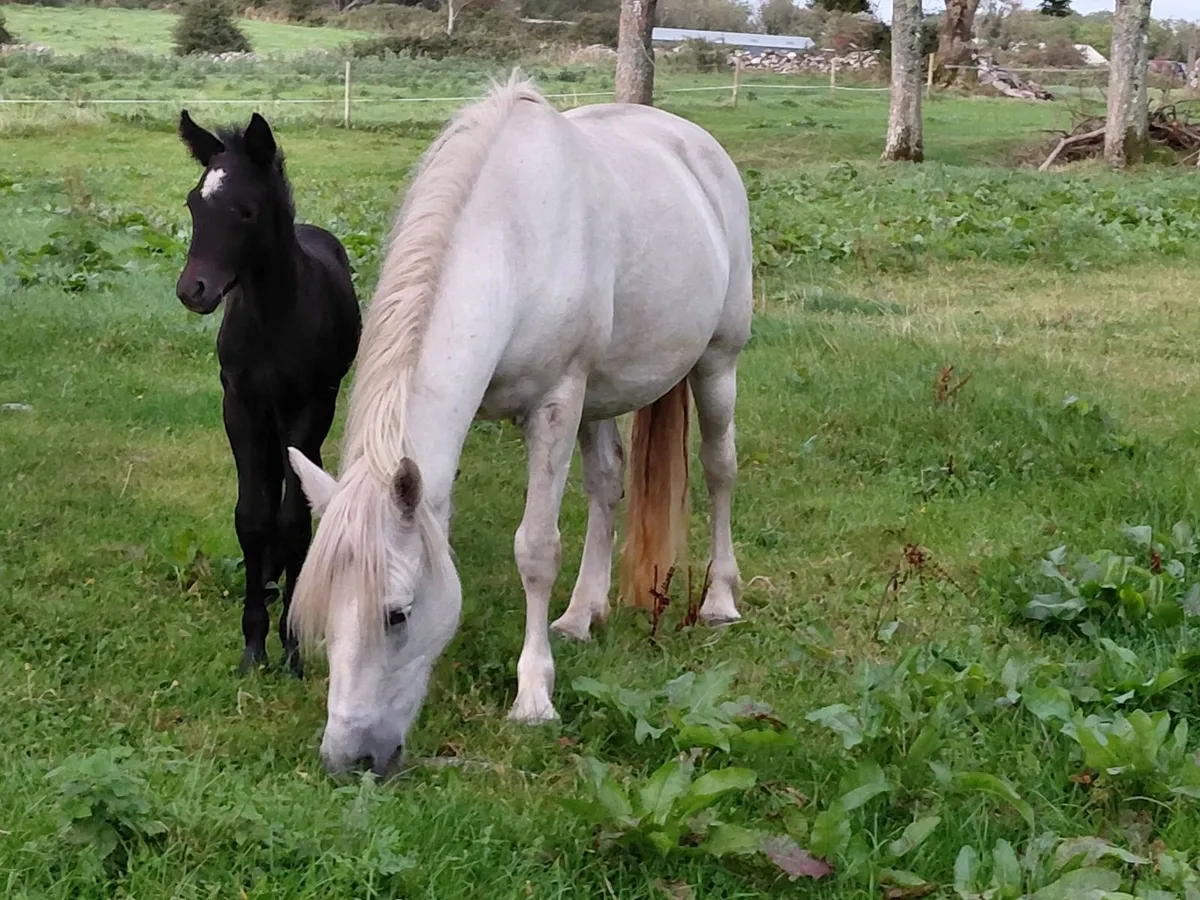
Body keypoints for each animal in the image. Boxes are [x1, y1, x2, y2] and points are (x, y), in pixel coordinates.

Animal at [175, 110, 362, 679]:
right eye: (193, 203)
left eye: (246, 211)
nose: (193, 290)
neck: (272, 321)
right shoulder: (240, 408)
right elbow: (252, 518)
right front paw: (253, 645)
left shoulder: (307, 409)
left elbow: (293, 519)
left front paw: (293, 649)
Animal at [287, 71, 752, 778]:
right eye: (320, 614)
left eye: (397, 616)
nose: (349, 759)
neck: (510, 239)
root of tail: (697, 144)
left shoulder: (555, 405)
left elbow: (536, 549)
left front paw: (533, 697)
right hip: (599, 398)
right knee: (607, 485)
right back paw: (582, 613)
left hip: (716, 363)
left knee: (720, 468)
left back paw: (721, 601)